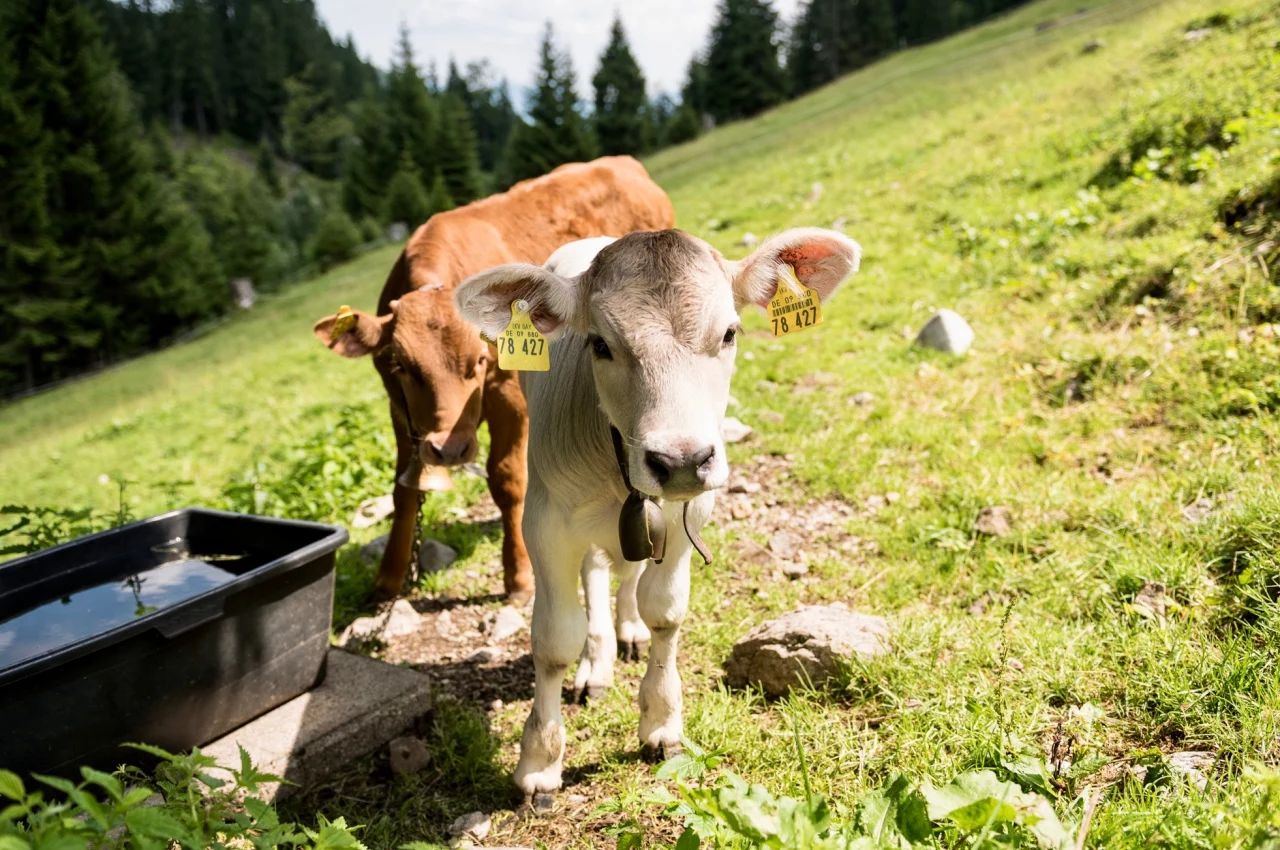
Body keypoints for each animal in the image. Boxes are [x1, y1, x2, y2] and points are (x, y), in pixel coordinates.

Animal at [313, 156, 675, 601]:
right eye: (400, 365)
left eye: (480, 361)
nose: (448, 450)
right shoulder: (399, 408)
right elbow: (404, 489)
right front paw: (387, 580)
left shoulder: (509, 398)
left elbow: (507, 480)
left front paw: (517, 575)